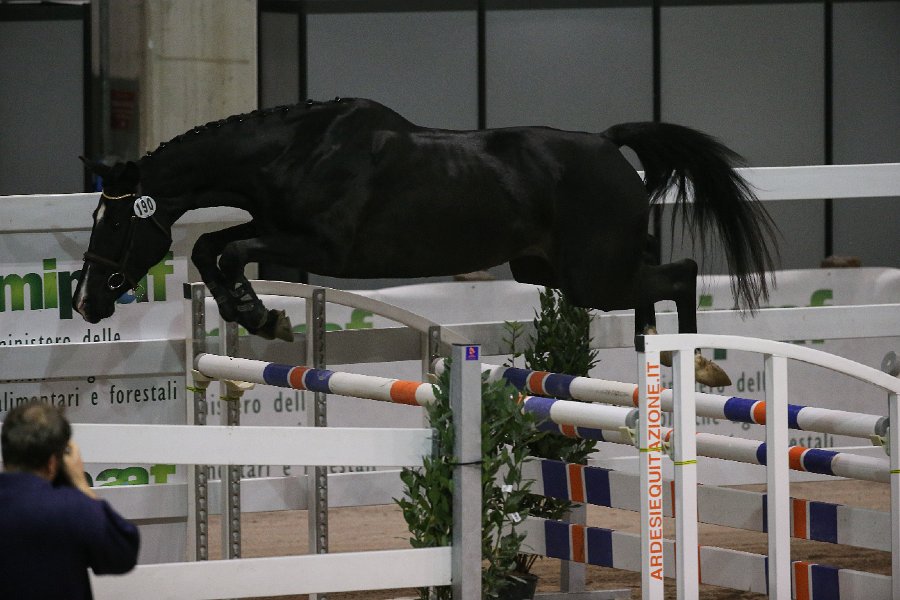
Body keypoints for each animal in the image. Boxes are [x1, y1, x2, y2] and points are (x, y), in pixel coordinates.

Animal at [74, 97, 777, 387]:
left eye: (114, 222)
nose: (86, 302)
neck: (295, 152)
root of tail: (609, 145)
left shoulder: (322, 247)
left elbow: (229, 252)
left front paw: (261, 315)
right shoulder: (276, 229)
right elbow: (210, 249)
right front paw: (260, 315)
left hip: (589, 275)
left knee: (681, 271)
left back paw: (695, 361)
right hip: (552, 270)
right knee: (656, 271)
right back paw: (651, 349)